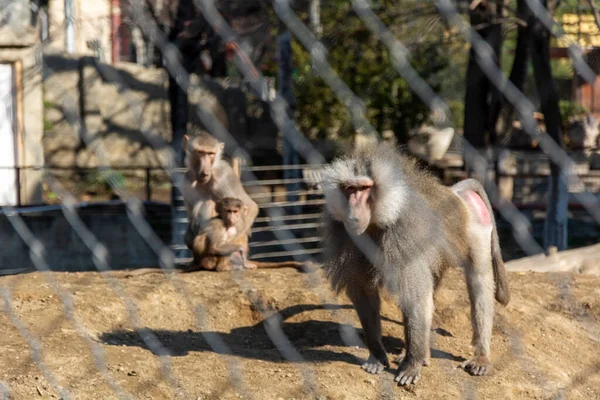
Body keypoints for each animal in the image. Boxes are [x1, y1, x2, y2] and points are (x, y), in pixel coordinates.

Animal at [322, 142, 508, 386]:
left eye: (364, 188)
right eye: (349, 189)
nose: (352, 216)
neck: (377, 222)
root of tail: (455, 193)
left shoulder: (404, 235)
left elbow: (416, 298)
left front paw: (411, 366)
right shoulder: (348, 238)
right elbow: (365, 294)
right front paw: (377, 356)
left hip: (477, 229)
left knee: (478, 282)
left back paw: (480, 357)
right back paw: (424, 354)